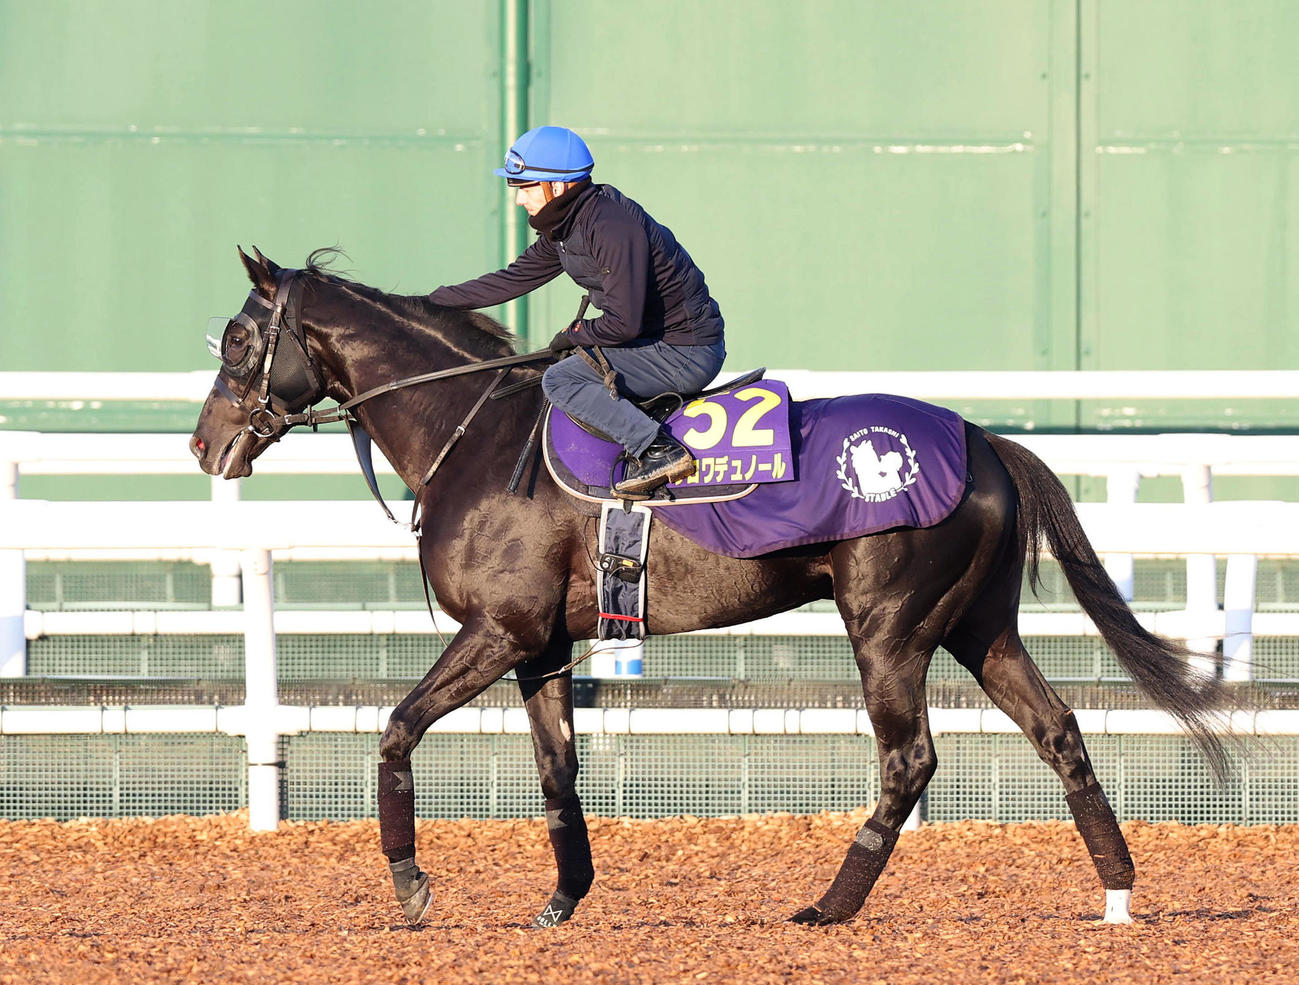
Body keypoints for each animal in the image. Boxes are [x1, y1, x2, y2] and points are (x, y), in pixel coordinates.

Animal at [190, 247, 1230, 929]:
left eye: (238, 338)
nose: (203, 444)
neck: (476, 433)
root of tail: (980, 439)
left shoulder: (500, 628)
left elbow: (398, 726)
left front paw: (409, 882)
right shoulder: (543, 646)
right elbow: (557, 768)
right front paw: (564, 896)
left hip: (889, 628)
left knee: (909, 759)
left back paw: (829, 904)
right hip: (979, 627)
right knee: (1057, 730)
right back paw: (1117, 888)